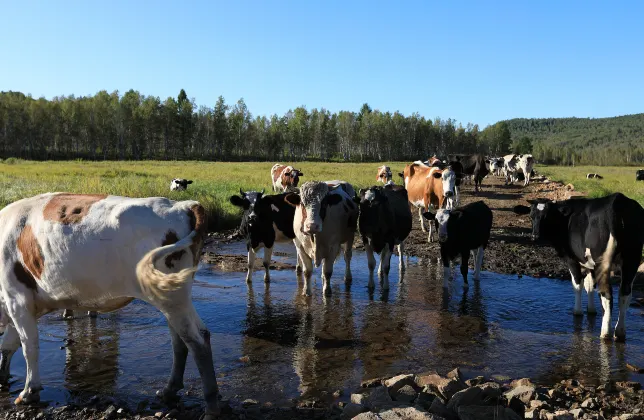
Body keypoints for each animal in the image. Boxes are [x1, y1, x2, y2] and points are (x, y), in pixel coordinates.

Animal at [0, 194, 220, 420]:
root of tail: (184, 205)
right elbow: (13, 342)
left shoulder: (17, 298)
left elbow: (28, 346)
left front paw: (29, 392)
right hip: (171, 296)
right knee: (183, 340)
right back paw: (169, 390)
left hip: (172, 298)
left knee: (196, 340)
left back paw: (211, 407)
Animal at [512, 194, 644, 342]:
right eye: (531, 216)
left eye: (546, 216)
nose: (535, 236)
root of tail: (618, 202)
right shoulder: (590, 263)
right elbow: (590, 285)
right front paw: (591, 310)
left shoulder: (572, 259)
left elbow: (578, 285)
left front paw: (578, 311)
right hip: (632, 260)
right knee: (625, 294)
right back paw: (620, 332)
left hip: (604, 261)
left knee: (607, 294)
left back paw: (605, 333)